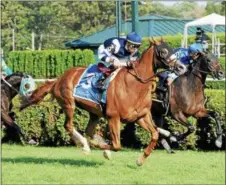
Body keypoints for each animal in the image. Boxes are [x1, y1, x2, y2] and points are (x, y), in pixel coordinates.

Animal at [19, 39, 175, 166]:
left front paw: (140, 160)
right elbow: (116, 145)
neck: (134, 85)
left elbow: (155, 135)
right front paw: (102, 149)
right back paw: (85, 146)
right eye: (163, 51)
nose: (178, 66)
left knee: (88, 130)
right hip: (69, 104)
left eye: (172, 49)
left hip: (95, 112)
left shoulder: (140, 117)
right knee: (69, 126)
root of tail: (58, 79)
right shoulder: (113, 117)